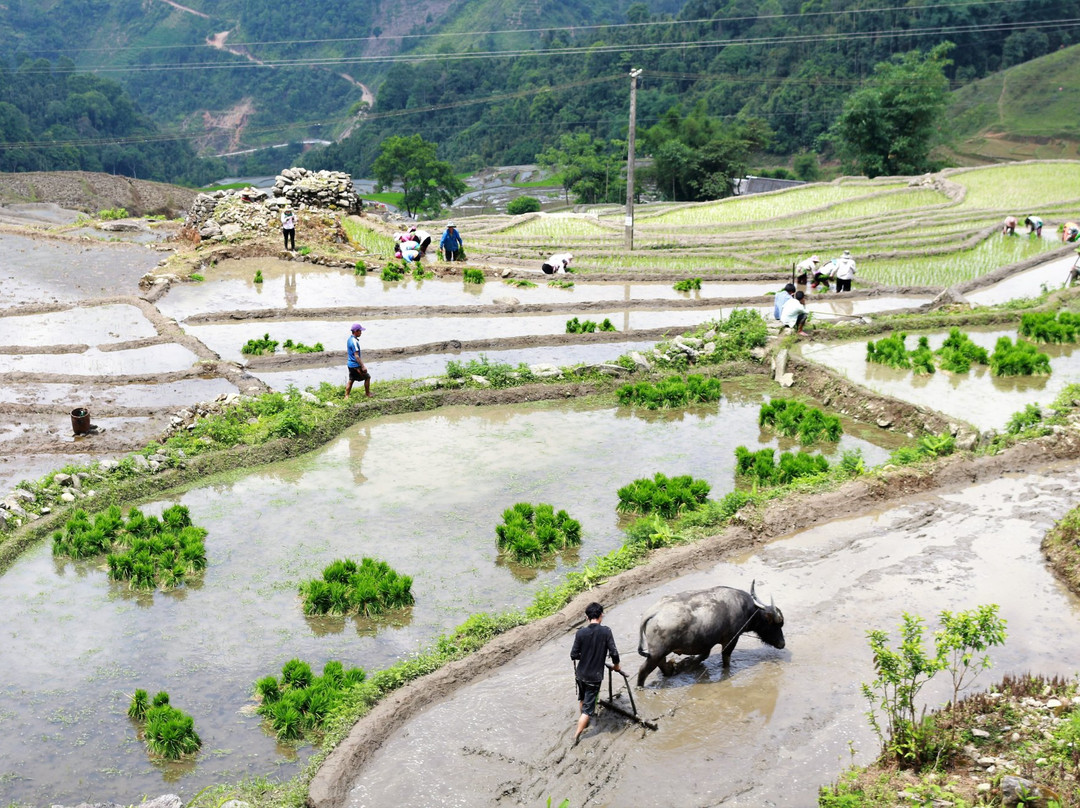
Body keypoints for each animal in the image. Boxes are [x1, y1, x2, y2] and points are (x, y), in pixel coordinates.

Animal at [630, 578, 786, 687]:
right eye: (775, 624)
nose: (782, 644)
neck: (747, 610)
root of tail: (653, 612)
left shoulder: (705, 643)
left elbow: (704, 655)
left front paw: (687, 663)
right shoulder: (731, 639)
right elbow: (725, 658)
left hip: (659, 653)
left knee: (662, 666)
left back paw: (672, 669)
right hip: (656, 653)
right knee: (643, 670)